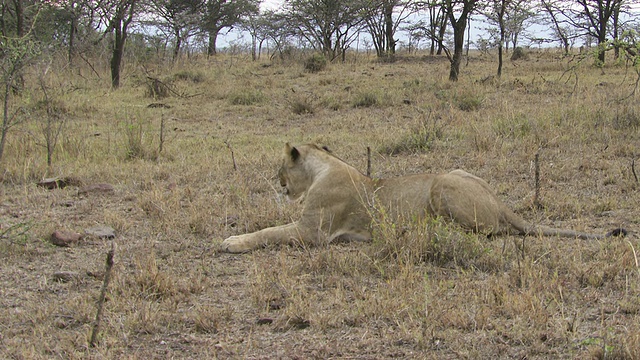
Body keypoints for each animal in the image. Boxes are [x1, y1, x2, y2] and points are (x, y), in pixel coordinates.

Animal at [220, 142, 624, 252]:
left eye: (281, 167)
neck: (325, 166)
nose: (279, 183)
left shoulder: (311, 233)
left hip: (441, 185)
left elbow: (269, 232)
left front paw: (231, 241)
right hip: (456, 172)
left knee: (487, 232)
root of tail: (501, 202)